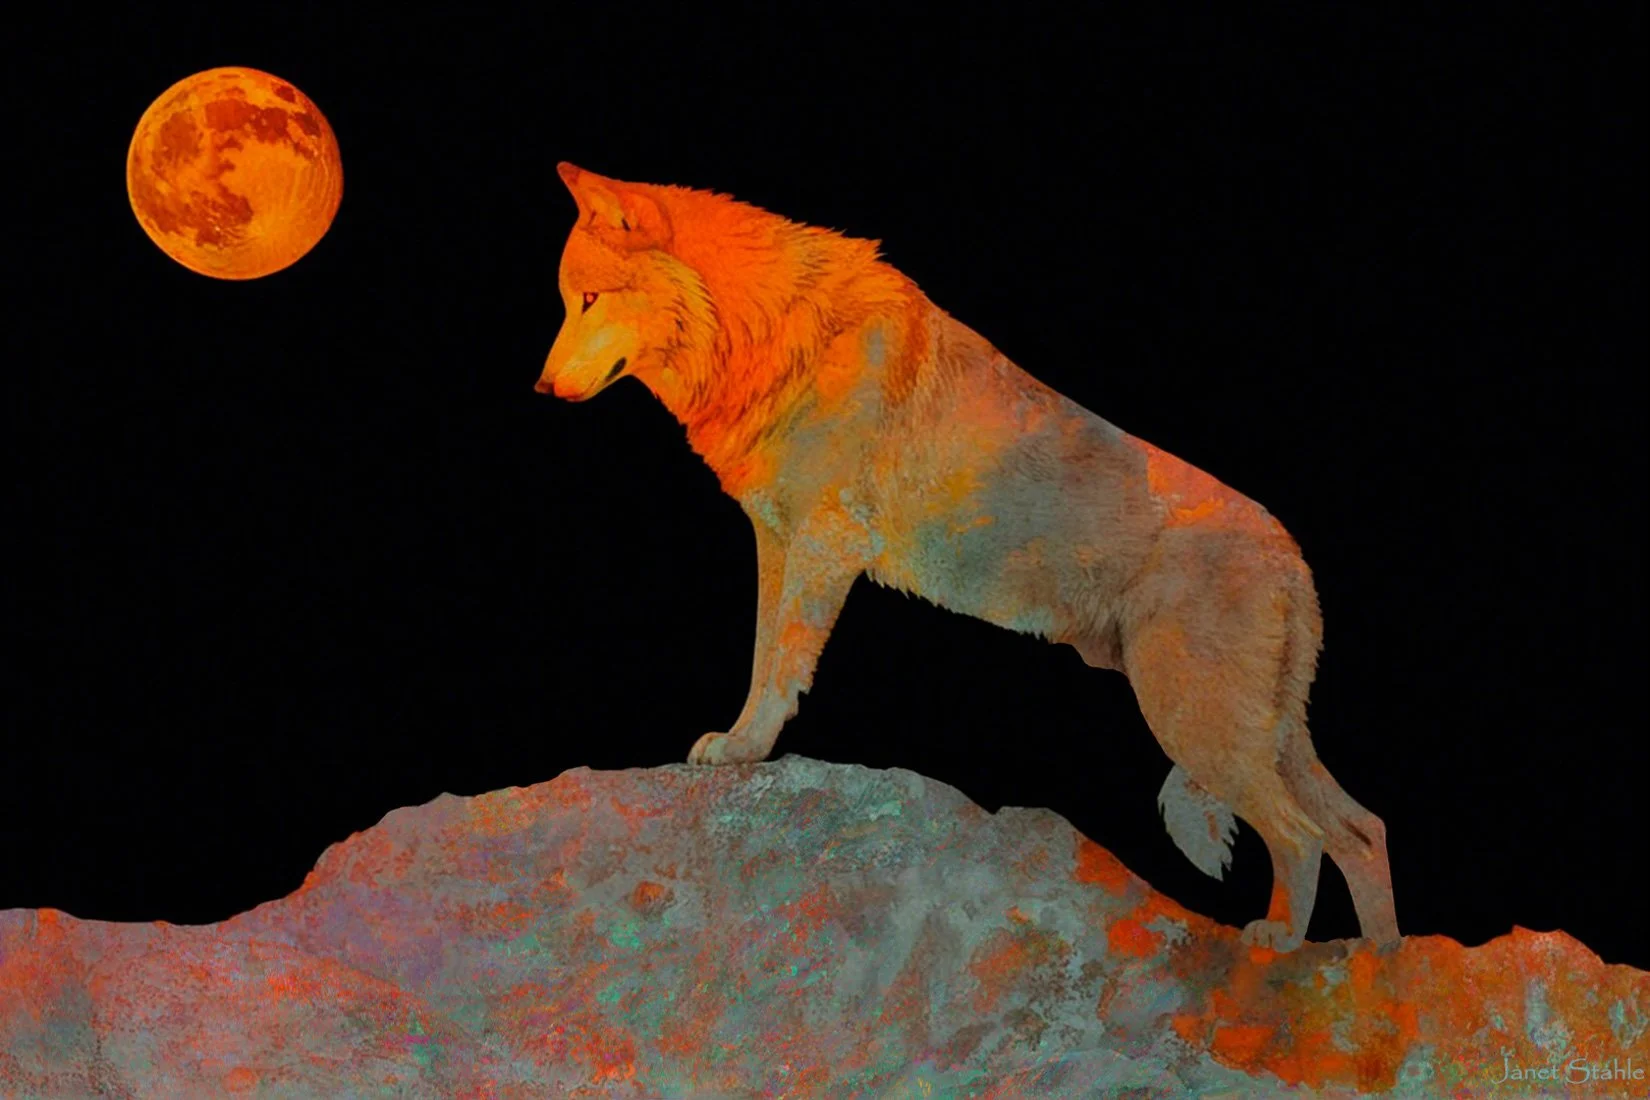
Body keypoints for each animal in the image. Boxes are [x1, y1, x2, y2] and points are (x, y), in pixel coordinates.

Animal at [535, 162, 1399, 953]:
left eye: (589, 300)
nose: (539, 390)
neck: (767, 332)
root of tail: (1295, 560)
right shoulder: (776, 541)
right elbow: (760, 658)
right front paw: (737, 748)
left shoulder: (821, 545)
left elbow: (779, 669)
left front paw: (744, 752)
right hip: (1260, 737)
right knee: (1364, 830)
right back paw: (1381, 966)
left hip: (1197, 725)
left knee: (1303, 836)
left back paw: (1280, 947)